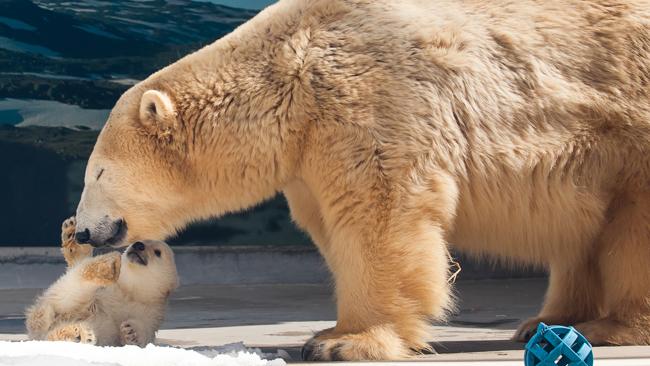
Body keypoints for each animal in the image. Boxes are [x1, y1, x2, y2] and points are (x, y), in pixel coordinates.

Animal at [73, 0, 648, 360]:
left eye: (97, 171)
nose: (81, 231)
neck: (291, 71)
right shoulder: (309, 150)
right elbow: (334, 225)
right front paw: (336, 329)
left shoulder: (370, 98)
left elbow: (380, 214)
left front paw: (345, 343)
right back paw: (544, 322)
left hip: (630, 137)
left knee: (630, 233)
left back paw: (610, 326)